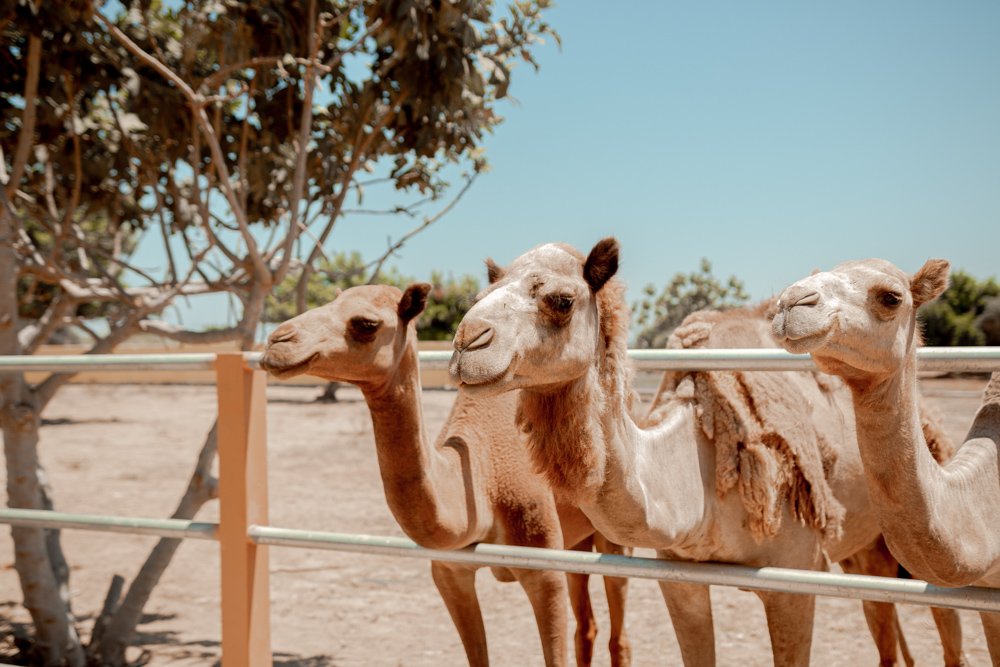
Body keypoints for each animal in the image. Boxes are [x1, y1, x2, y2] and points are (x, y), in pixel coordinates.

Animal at [259, 283, 632, 667]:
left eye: (365, 324)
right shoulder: (449, 571)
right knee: (586, 627)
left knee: (618, 630)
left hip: (614, 532)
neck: (481, 481)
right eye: (331, 301)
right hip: (577, 540)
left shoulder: (542, 567)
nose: (277, 342)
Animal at [448, 238, 966, 666]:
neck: (697, 476)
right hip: (864, 543)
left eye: (561, 300)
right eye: (477, 298)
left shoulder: (795, 578)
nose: (466, 344)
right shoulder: (681, 578)